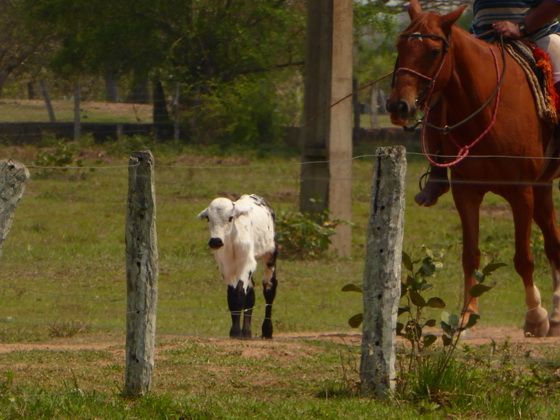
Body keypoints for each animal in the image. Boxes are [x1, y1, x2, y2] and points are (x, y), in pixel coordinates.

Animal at [198, 195, 278, 340]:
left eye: (230, 217)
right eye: (208, 218)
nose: (215, 241)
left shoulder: (247, 263)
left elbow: (239, 292)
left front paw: (235, 332)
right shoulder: (225, 267)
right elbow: (233, 295)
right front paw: (236, 331)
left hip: (271, 252)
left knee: (269, 287)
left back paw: (267, 331)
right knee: (251, 293)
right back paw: (247, 332)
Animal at [388, 0, 560, 336]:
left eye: (434, 51)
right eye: (400, 45)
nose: (398, 105)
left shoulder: (521, 192)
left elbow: (523, 258)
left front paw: (535, 315)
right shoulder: (466, 192)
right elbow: (470, 255)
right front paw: (466, 315)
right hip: (543, 187)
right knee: (553, 241)